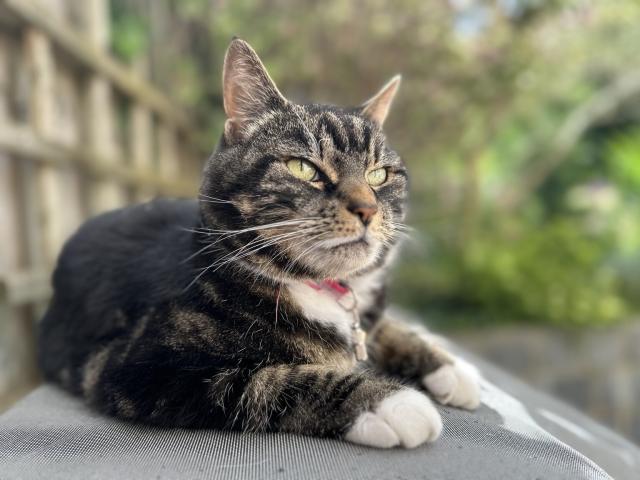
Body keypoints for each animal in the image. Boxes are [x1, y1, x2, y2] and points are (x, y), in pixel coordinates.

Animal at [38, 39, 480, 448]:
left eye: (379, 175)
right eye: (303, 168)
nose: (367, 209)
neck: (314, 288)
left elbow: (382, 329)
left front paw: (451, 368)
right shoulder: (144, 369)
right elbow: (274, 380)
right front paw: (392, 403)